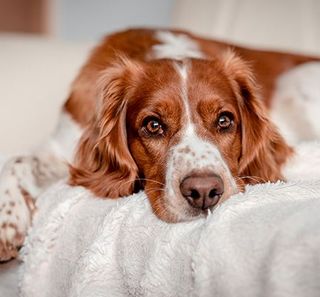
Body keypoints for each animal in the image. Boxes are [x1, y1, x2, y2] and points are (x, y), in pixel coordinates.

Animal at [0, 27, 320, 260]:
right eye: (153, 125)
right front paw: (8, 222)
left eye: (224, 120)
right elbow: (16, 160)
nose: (204, 192)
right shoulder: (65, 148)